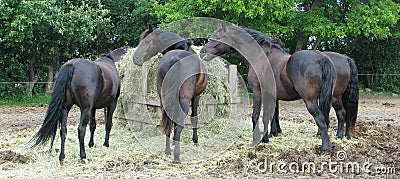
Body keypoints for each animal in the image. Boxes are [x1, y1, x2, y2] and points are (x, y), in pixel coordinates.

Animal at [132, 28, 208, 162]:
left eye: (147, 41)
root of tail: (175, 59)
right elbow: (194, 118)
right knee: (178, 126)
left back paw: (168, 151)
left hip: (163, 99)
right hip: (185, 100)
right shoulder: (196, 97)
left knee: (167, 123)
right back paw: (176, 156)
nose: (135, 58)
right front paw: (195, 141)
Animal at [202, 23, 358, 153]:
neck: (262, 56)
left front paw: (257, 140)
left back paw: (326, 147)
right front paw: (268, 137)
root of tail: (322, 59)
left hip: (314, 100)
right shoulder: (272, 95)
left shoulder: (258, 92)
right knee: (333, 116)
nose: (203, 50)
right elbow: (269, 116)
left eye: (218, 36)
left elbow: (256, 115)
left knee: (325, 118)